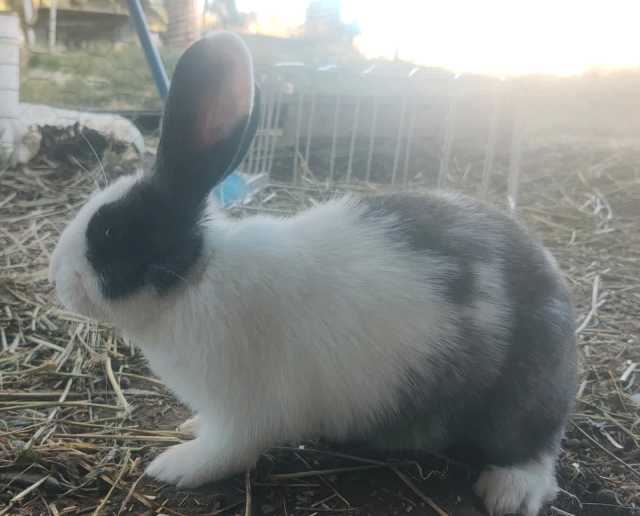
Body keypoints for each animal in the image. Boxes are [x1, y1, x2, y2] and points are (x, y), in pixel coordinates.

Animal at [50, 32, 576, 516]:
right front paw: (189, 428)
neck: (193, 278)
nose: (57, 275)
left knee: (535, 450)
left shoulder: (242, 413)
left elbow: (225, 452)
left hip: (523, 396)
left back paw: (509, 492)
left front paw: (174, 466)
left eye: (110, 230)